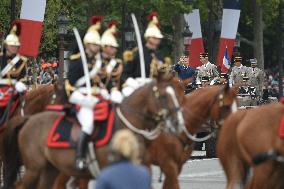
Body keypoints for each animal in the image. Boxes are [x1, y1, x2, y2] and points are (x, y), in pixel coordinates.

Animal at [3, 74, 185, 189]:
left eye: (177, 95)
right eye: (163, 96)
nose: (178, 123)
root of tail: (29, 119)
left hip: (49, 169)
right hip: (35, 169)